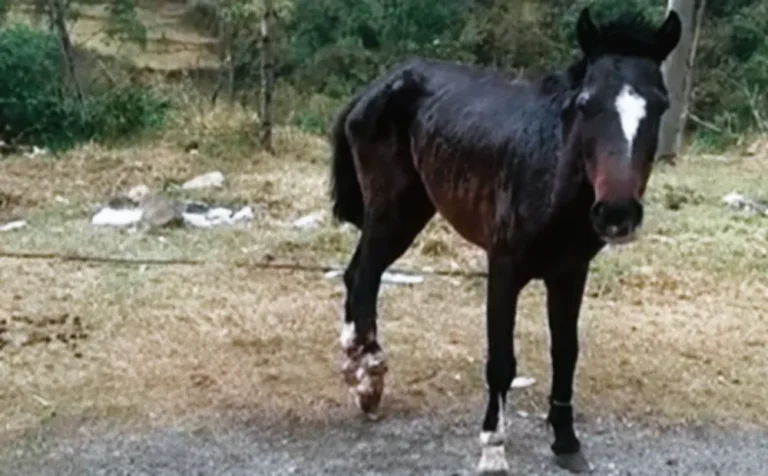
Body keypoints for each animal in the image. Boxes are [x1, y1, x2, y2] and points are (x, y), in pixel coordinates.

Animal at [328, 7, 681, 475]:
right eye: (586, 104)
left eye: (660, 106)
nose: (617, 213)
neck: (547, 171)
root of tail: (373, 89)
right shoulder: (503, 268)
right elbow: (500, 362)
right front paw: (493, 447)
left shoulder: (570, 272)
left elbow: (565, 351)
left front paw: (566, 441)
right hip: (392, 210)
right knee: (364, 277)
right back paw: (367, 377)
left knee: (357, 275)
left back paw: (360, 371)